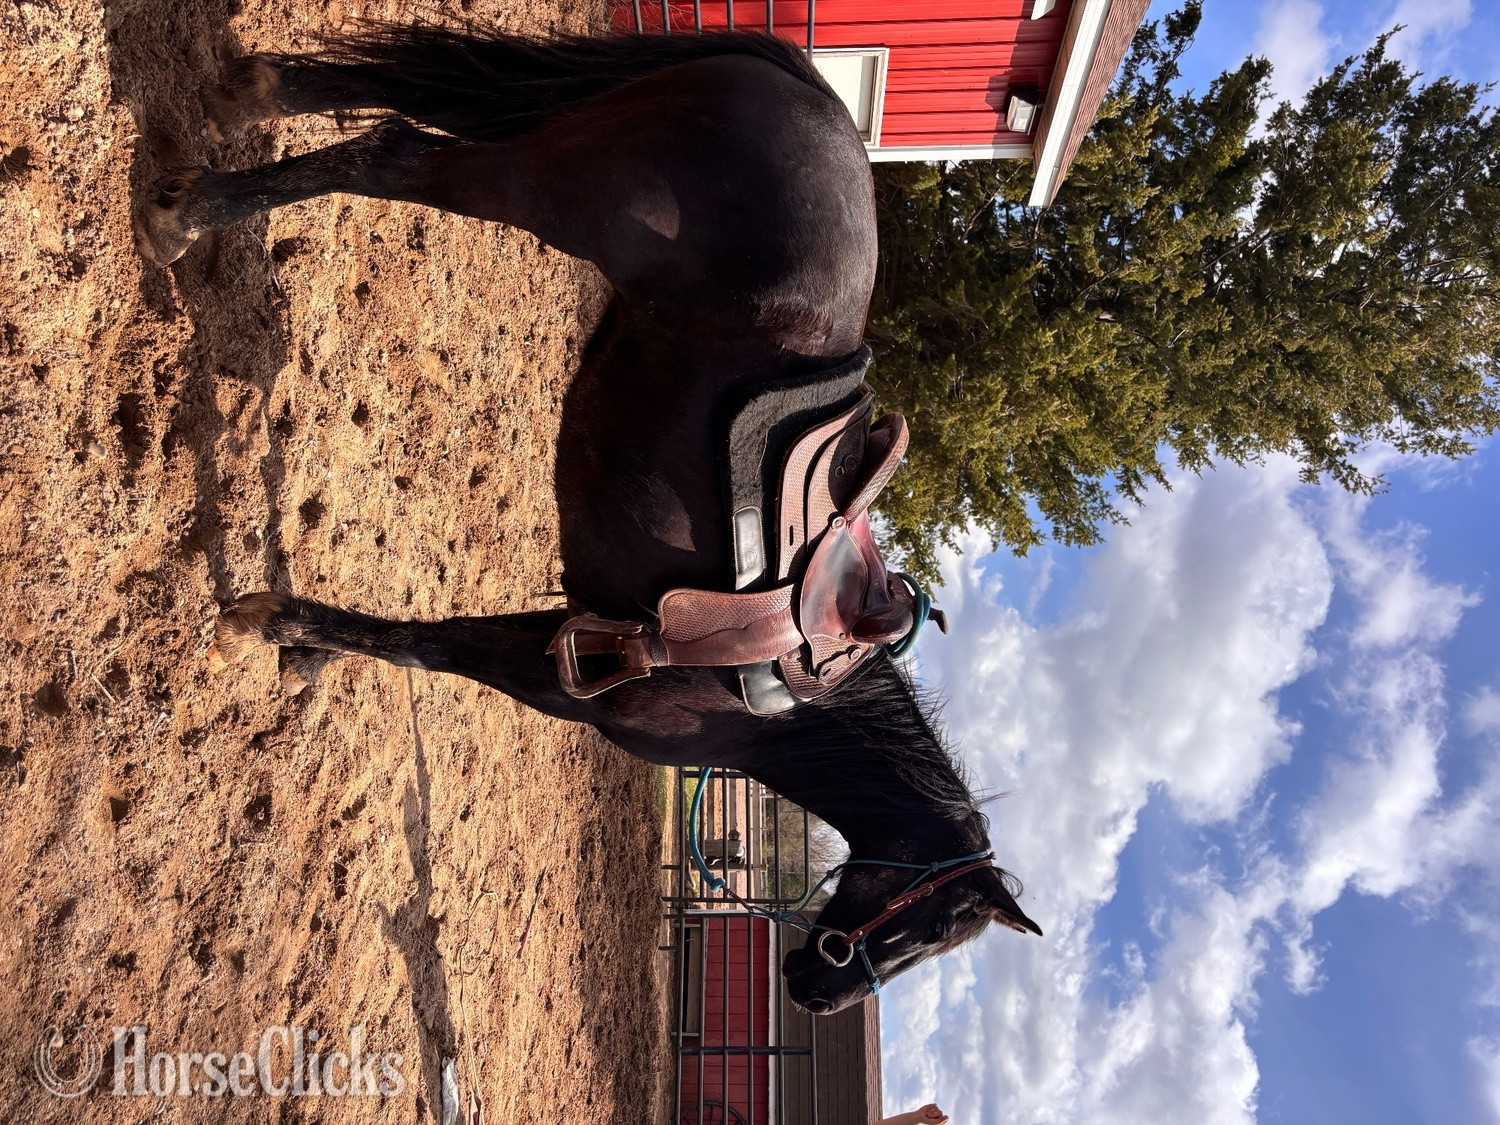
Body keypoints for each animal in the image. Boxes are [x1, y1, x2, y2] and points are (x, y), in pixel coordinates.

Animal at [135, 23, 1041, 1016]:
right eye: (932, 923)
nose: (813, 989)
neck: (775, 692)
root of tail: (816, 105)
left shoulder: (571, 634)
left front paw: (298, 645)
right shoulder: (563, 674)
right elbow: (429, 647)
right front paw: (269, 626)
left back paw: (244, 100)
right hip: (547, 185)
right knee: (395, 152)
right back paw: (183, 216)